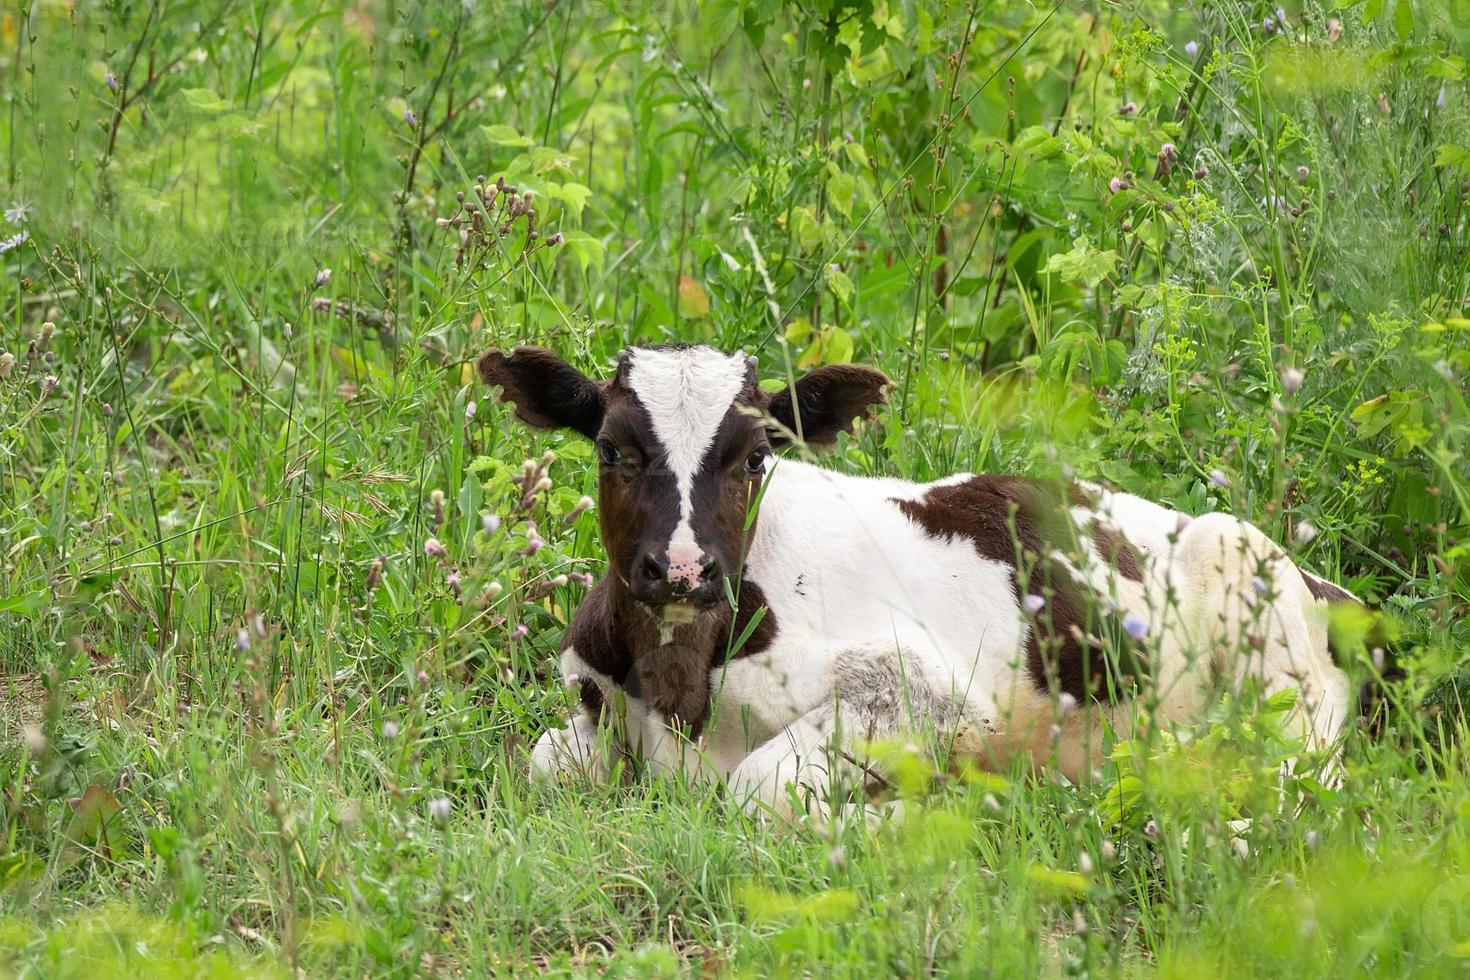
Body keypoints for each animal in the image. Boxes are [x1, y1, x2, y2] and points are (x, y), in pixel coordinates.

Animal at [479, 340, 1352, 816]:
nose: (685, 569)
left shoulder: (925, 689)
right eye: (612, 450)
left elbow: (757, 789)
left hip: (1251, 591)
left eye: (756, 456)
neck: (679, 689)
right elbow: (540, 763)